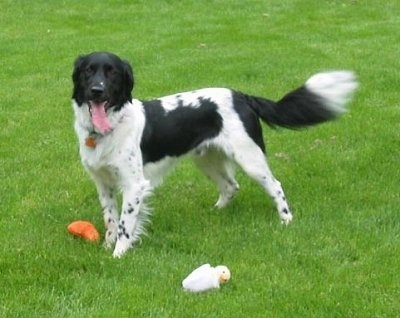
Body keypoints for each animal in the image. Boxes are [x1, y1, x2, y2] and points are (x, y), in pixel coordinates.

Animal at [70, 51, 358, 258]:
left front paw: (118, 255)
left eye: (112, 73)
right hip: (206, 158)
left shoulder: (135, 184)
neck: (109, 127)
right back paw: (216, 212)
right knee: (231, 185)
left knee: (275, 186)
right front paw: (107, 247)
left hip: (249, 157)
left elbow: (124, 224)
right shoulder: (103, 183)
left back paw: (286, 220)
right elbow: (110, 219)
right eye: (88, 71)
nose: (97, 90)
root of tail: (242, 96)